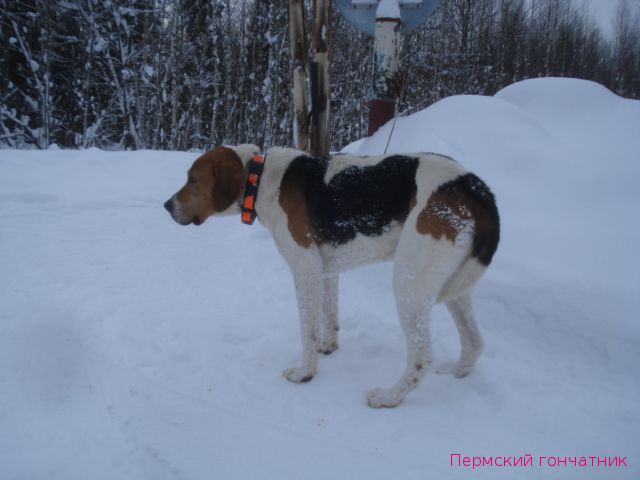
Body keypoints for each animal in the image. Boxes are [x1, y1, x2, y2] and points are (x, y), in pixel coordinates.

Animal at [165, 144, 500, 406]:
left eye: (192, 179)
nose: (167, 206)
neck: (259, 179)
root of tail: (475, 186)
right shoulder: (328, 271)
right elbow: (329, 316)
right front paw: (328, 347)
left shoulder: (305, 270)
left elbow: (307, 331)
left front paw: (305, 372)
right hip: (455, 288)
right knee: (475, 342)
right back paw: (456, 373)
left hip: (409, 284)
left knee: (421, 359)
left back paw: (389, 397)